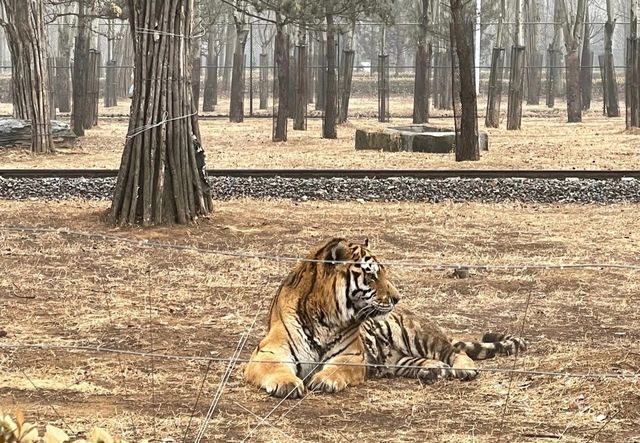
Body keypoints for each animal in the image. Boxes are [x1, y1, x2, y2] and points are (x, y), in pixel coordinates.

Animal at [245, 239, 524, 398]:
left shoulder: (352, 356)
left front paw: (324, 380)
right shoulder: (267, 353)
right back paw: (433, 370)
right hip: (396, 360)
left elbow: (337, 368)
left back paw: (464, 369)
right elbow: (275, 368)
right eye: (371, 276)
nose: (397, 298)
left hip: (416, 333)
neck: (324, 317)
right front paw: (286, 384)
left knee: (454, 351)